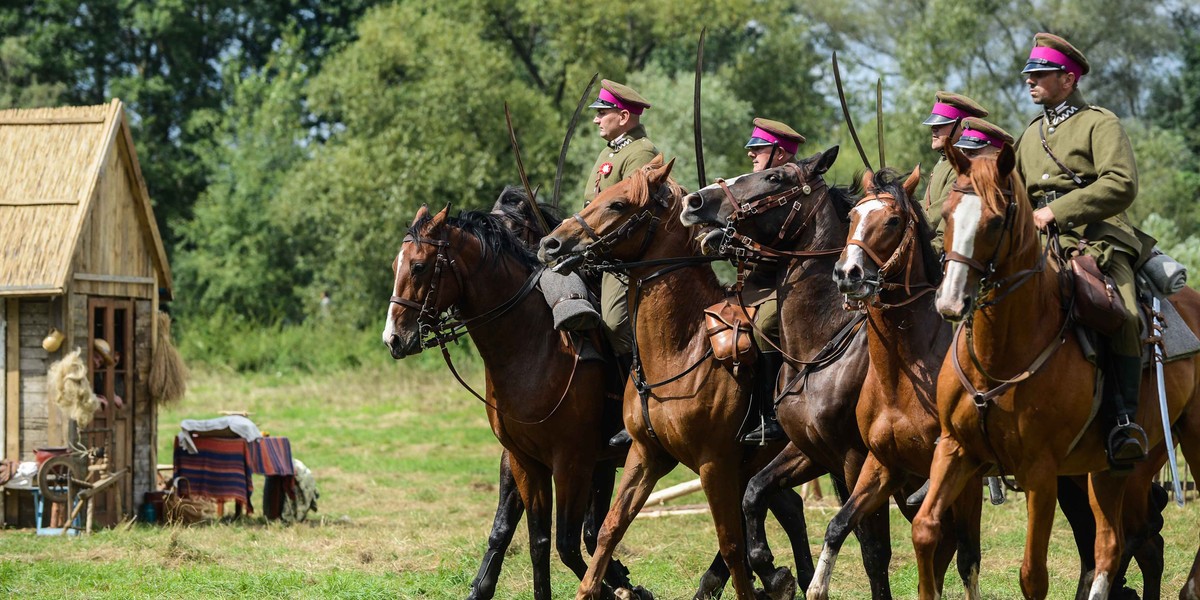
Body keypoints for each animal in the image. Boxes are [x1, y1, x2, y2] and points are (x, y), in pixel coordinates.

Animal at [386, 206, 648, 600]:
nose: (393, 339)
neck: (533, 344)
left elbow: (570, 543)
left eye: (418, 266)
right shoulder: (526, 461)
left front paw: (613, 587)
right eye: (395, 265)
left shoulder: (574, 463)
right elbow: (537, 541)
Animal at [540, 158, 811, 600]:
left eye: (617, 203)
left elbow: (731, 545)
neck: (680, 350)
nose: (551, 244)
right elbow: (610, 530)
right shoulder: (645, 456)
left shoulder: (715, 465)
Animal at [681, 146, 902, 600]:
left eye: (776, 178)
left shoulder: (858, 460)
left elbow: (872, 549)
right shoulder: (812, 452)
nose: (694, 202)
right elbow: (754, 496)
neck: (821, 345)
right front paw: (769, 568)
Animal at [907, 146, 1200, 600]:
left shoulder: (1040, 474)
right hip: (1112, 469)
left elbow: (1033, 575)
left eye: (995, 221)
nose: (951, 302)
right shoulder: (956, 449)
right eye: (949, 214)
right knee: (1113, 544)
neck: (999, 356)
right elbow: (925, 529)